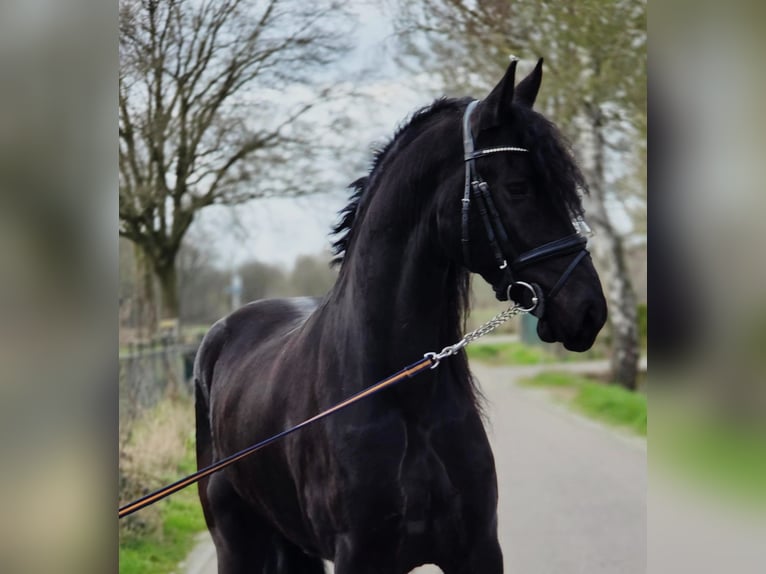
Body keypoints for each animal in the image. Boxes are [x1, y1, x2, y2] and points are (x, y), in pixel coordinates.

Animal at [194, 58, 607, 573]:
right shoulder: (359, 557)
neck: (401, 394)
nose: (589, 310)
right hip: (236, 543)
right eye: (518, 188)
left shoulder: (478, 550)